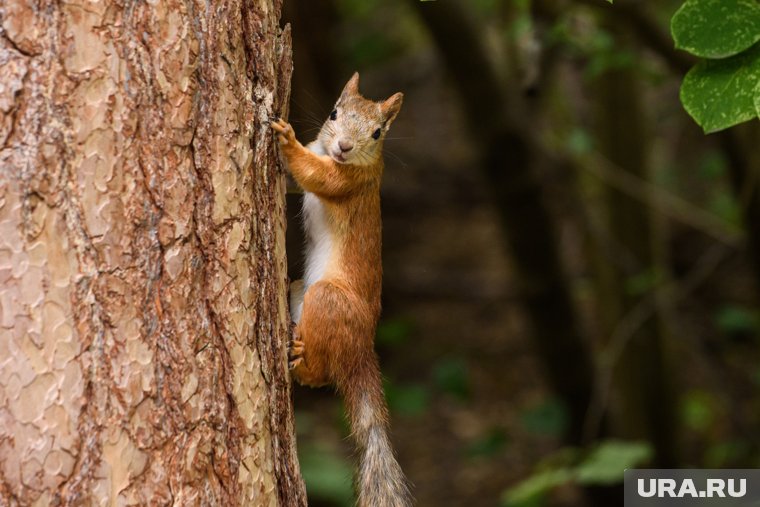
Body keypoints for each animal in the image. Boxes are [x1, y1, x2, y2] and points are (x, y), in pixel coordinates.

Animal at [272, 72, 412, 507]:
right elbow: (297, 180)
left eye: (378, 132)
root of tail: (362, 348)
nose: (344, 147)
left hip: (327, 300)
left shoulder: (348, 182)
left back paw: (299, 360)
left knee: (320, 374)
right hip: (302, 292)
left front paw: (286, 139)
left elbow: (317, 175)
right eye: (334, 112)